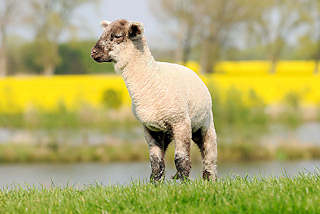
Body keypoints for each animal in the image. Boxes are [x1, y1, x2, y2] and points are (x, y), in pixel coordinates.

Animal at [91, 19, 219, 181]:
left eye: (117, 36)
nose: (93, 52)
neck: (152, 80)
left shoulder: (180, 122)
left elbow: (181, 159)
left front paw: (185, 183)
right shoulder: (150, 128)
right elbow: (156, 162)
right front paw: (156, 183)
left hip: (205, 124)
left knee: (209, 155)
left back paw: (209, 180)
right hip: (166, 132)